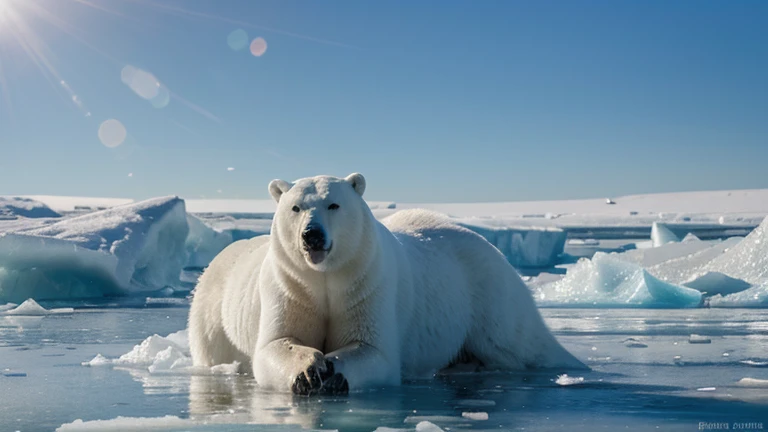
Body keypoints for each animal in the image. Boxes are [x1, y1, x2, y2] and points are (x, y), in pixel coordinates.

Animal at [189, 174, 584, 396]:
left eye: (334, 204)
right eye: (295, 207)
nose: (312, 236)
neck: (325, 277)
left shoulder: (367, 283)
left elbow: (374, 348)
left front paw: (334, 372)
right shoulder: (290, 286)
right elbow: (276, 342)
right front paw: (309, 371)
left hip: (485, 293)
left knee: (519, 342)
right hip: (211, 315)